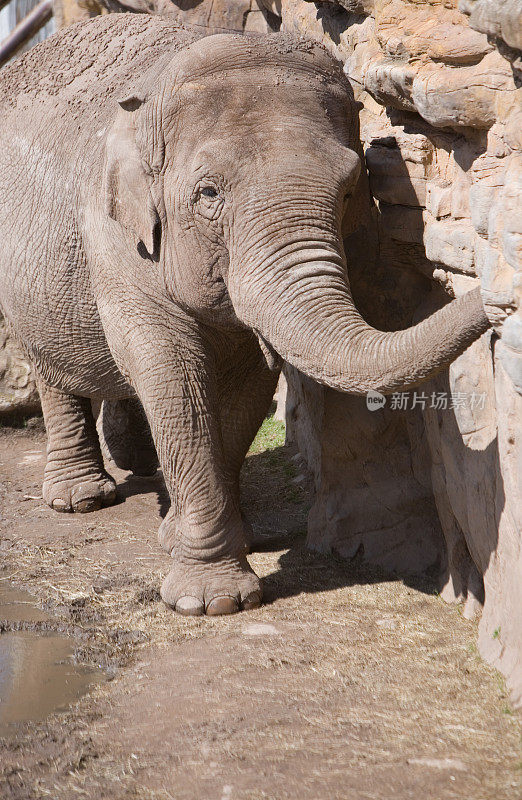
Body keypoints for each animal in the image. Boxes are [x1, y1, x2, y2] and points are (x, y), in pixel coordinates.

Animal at [0, 15, 488, 620]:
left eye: (351, 189)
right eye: (208, 193)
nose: (498, 297)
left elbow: (249, 384)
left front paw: (190, 538)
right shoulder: (112, 235)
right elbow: (172, 374)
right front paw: (211, 601)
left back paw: (139, 463)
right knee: (52, 369)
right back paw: (80, 498)